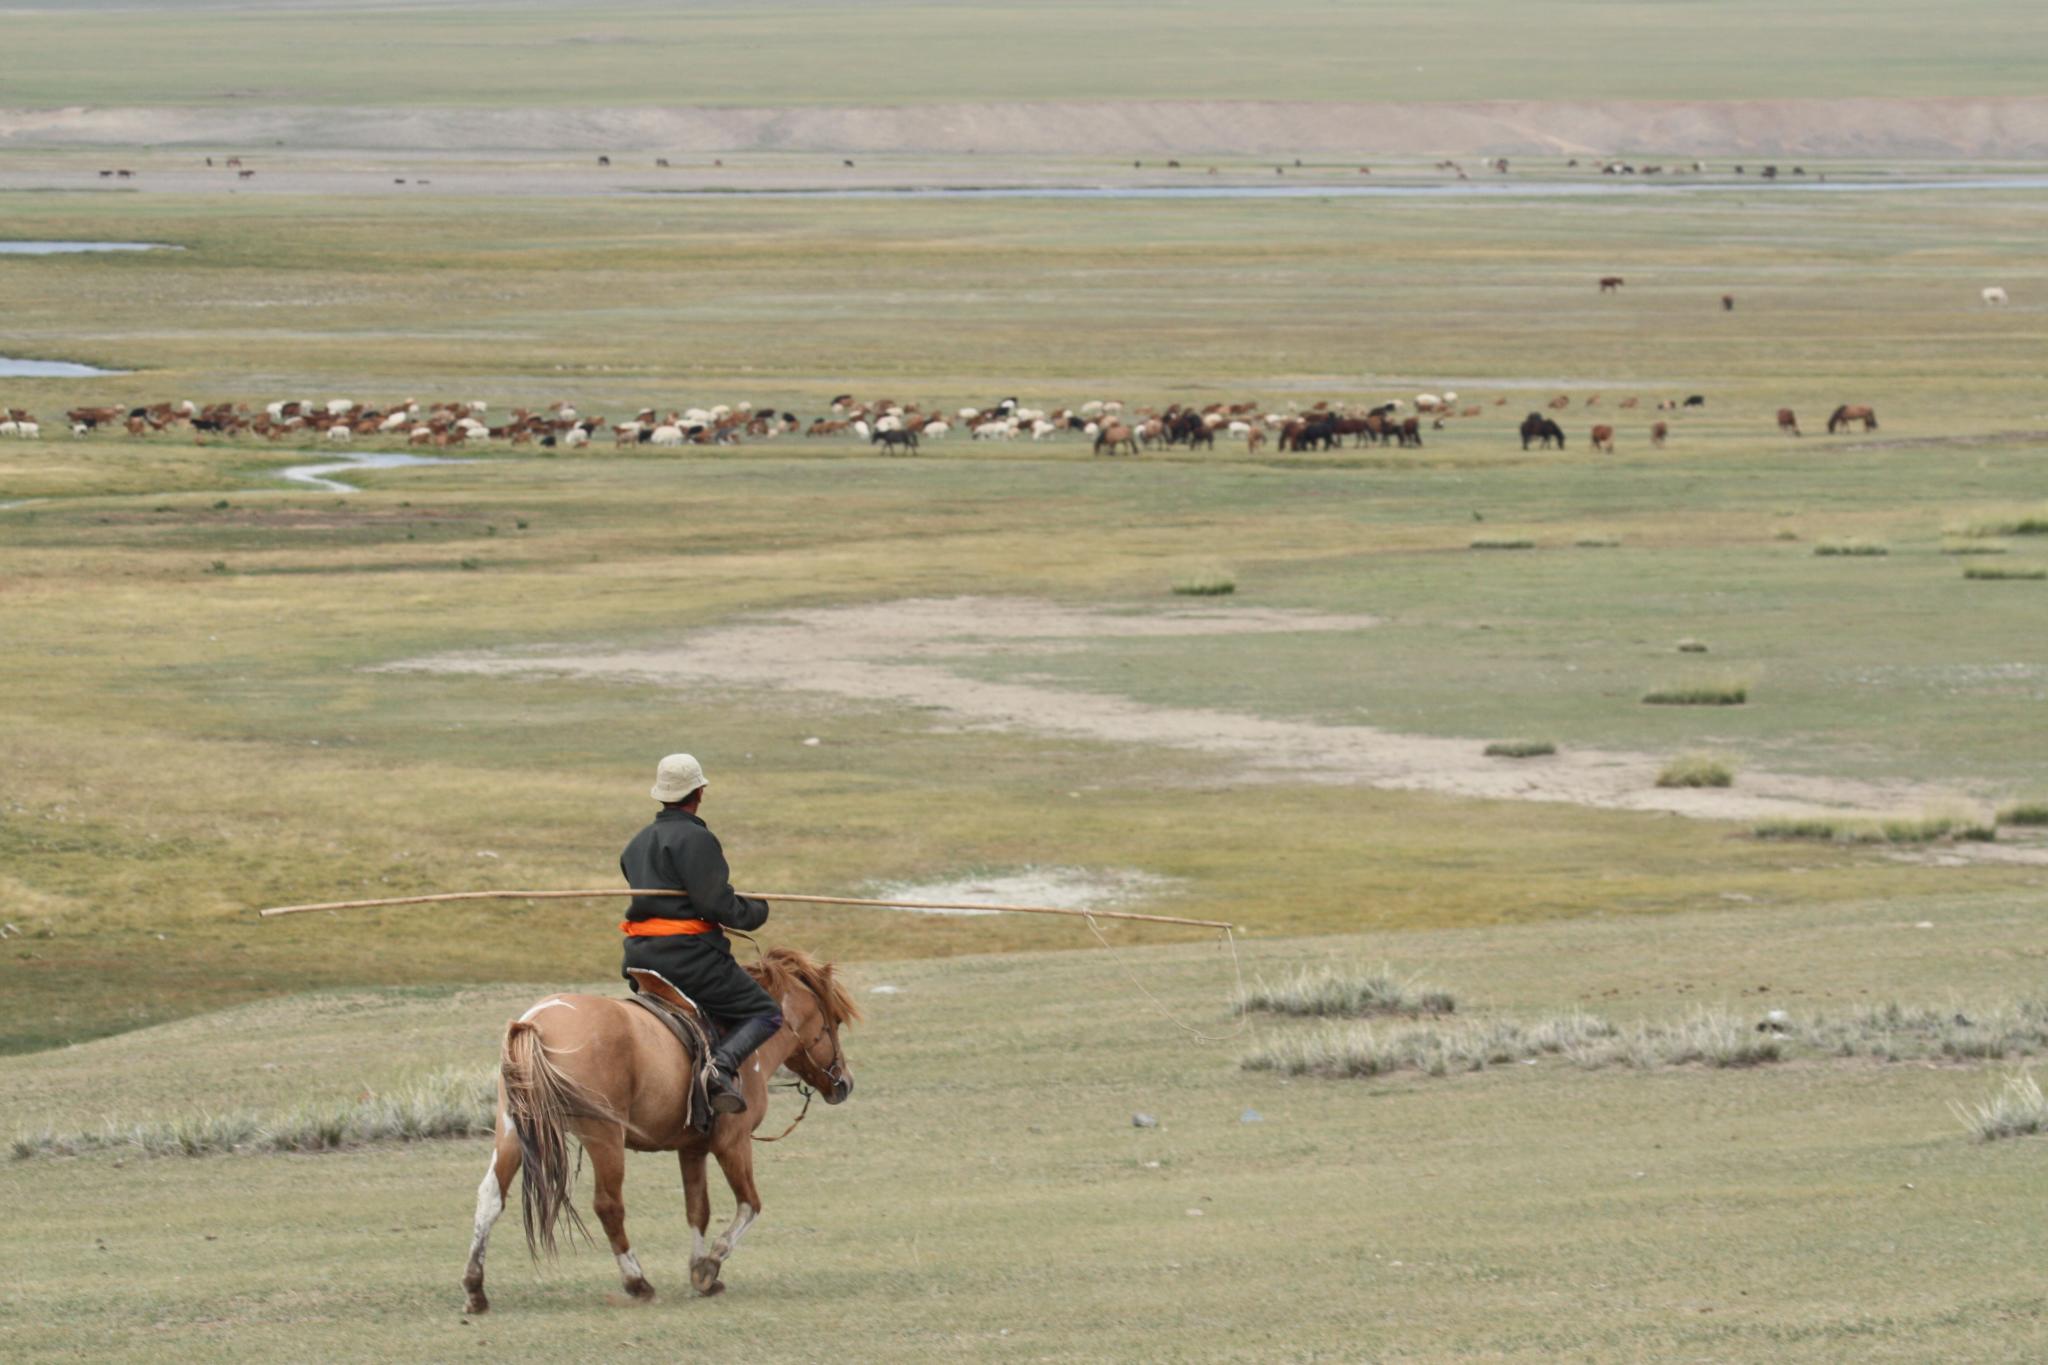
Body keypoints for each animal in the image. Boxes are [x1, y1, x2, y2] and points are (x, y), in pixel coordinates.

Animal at [462, 949, 856, 1309]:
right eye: (834, 1021)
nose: (846, 1083)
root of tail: (535, 1022)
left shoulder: (692, 1148)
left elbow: (698, 1209)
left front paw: (699, 1270)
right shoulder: (733, 1142)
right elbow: (750, 1205)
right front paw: (710, 1264)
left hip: (513, 1132)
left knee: (490, 1196)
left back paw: (475, 1288)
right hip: (603, 1136)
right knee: (608, 1205)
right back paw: (637, 1282)